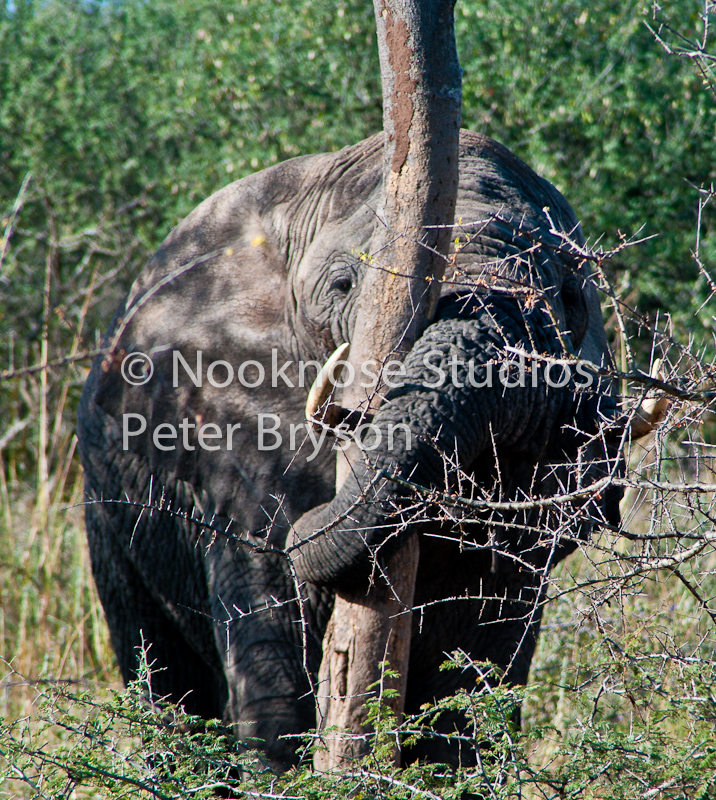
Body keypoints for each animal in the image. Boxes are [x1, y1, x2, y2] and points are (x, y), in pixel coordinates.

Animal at [77, 129, 621, 769]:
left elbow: (473, 675)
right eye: (343, 285)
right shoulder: (229, 428)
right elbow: (273, 632)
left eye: (568, 292)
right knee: (162, 674)